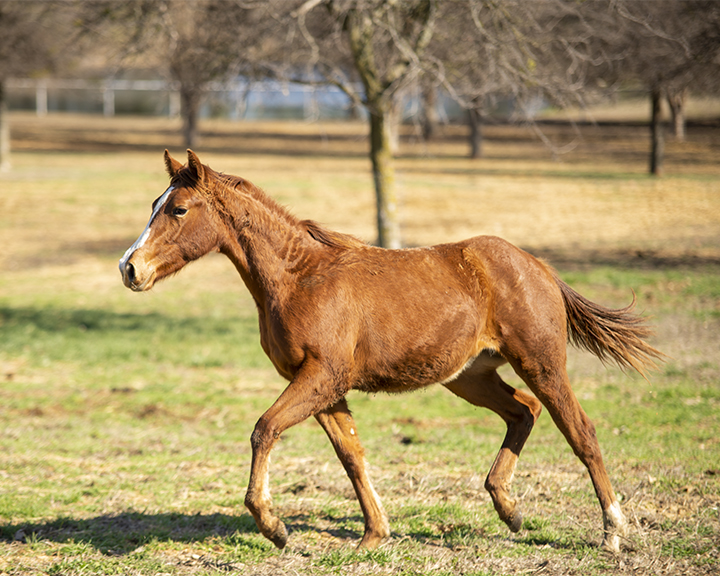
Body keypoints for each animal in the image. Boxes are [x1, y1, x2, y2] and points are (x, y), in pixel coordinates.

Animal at [119, 149, 662, 553]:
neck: (300, 278)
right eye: (154, 203)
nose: (130, 268)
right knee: (523, 412)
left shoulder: (321, 377)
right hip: (470, 376)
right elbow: (351, 454)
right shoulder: (321, 386)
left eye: (178, 209)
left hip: (540, 363)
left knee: (580, 431)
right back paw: (509, 510)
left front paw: (275, 527)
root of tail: (538, 266)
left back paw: (613, 532)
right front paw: (374, 534)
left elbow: (264, 429)